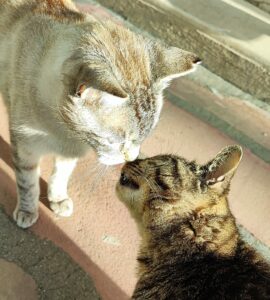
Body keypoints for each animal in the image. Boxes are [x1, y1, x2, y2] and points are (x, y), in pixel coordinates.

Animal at [0, 0, 199, 229]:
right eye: (117, 142)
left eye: (143, 138)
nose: (132, 157)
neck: (64, 131)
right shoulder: (25, 146)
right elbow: (28, 182)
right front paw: (27, 210)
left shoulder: (70, 151)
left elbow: (61, 175)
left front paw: (58, 199)